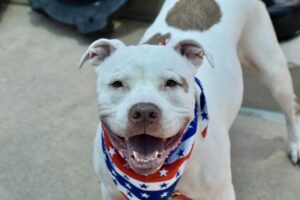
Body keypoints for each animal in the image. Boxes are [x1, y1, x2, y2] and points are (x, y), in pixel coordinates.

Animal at [78, 0, 300, 200]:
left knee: (291, 107)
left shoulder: (221, 193)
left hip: (272, 69)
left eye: (172, 83)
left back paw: (295, 144)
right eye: (117, 84)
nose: (143, 111)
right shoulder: (110, 192)